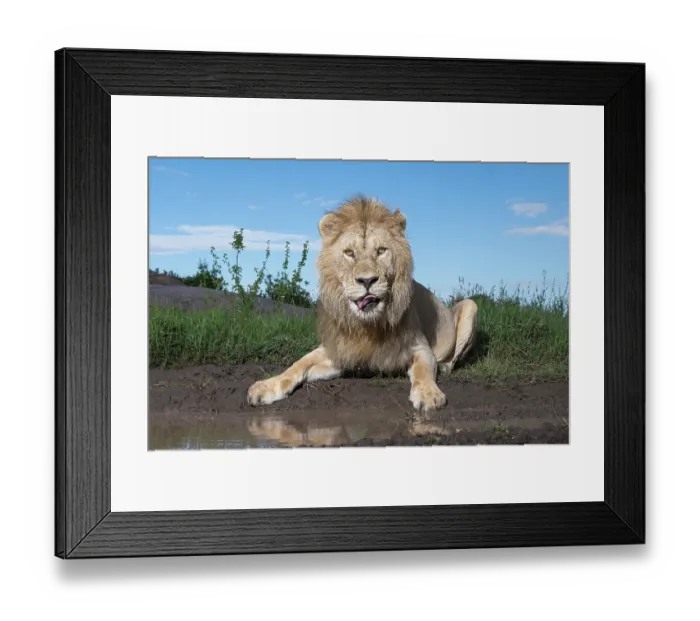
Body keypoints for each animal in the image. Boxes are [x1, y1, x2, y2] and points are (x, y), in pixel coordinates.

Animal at [246, 196, 478, 413]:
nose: (367, 281)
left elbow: (423, 370)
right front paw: (267, 386)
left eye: (381, 250)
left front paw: (429, 394)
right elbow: (297, 365)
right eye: (349, 253)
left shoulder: (421, 348)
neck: (368, 325)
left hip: (471, 305)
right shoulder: (338, 351)